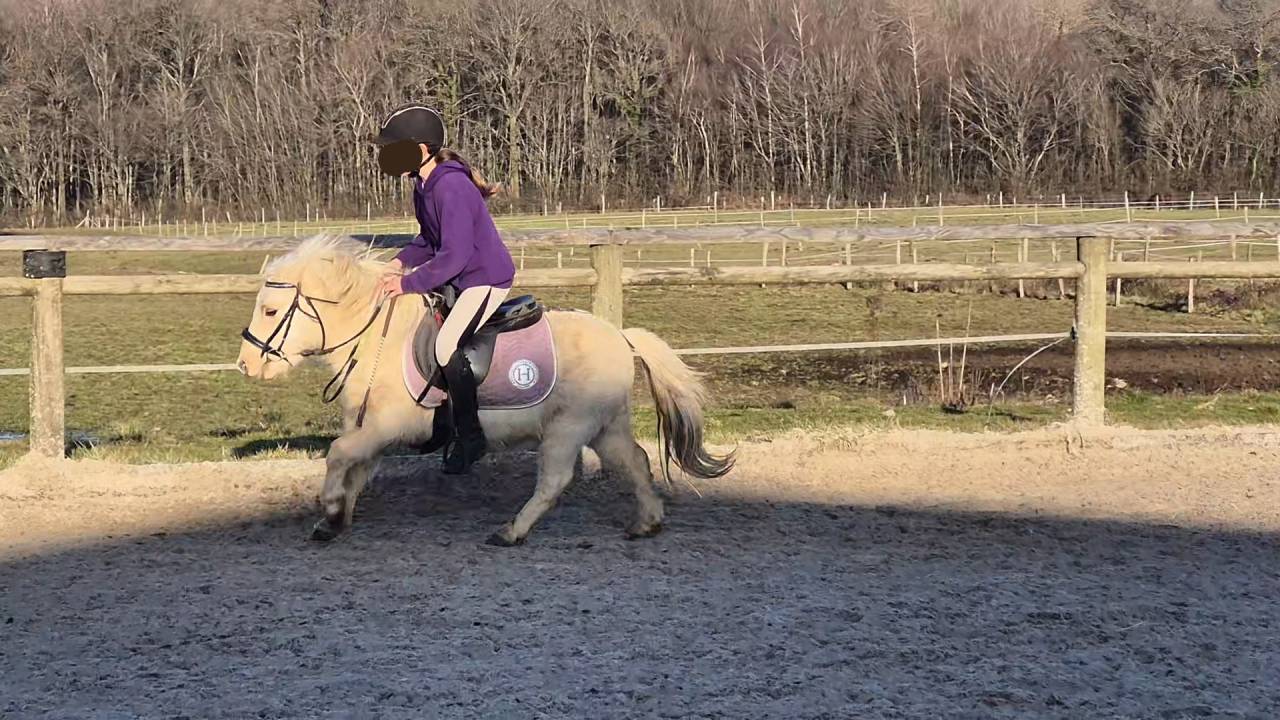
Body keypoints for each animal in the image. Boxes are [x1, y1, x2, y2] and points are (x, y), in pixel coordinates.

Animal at [236, 236, 734, 546]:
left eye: (271, 309)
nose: (246, 365)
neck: (379, 337)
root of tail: (619, 335)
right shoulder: (369, 430)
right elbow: (354, 468)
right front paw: (335, 519)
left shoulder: (389, 427)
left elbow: (338, 456)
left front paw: (331, 510)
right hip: (603, 426)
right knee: (635, 462)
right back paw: (647, 522)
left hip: (568, 429)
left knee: (555, 480)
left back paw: (511, 532)